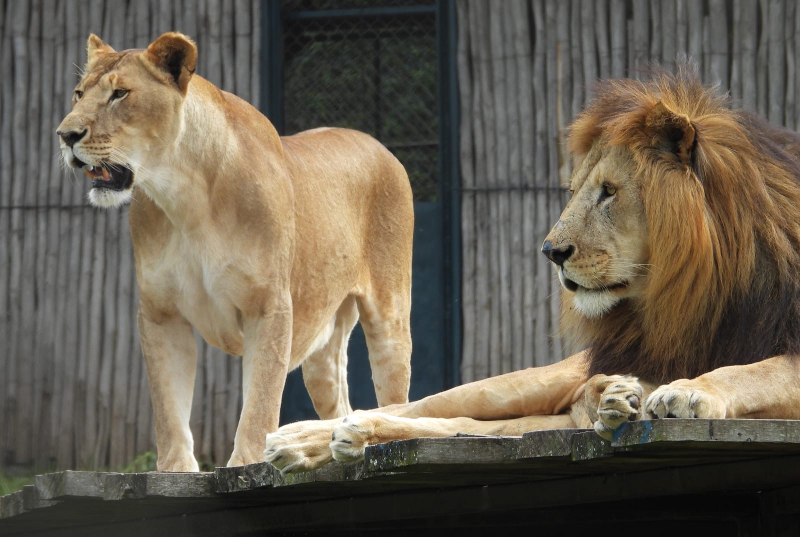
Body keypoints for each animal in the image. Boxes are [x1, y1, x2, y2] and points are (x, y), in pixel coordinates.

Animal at [56, 33, 412, 468]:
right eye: (79, 94)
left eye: (120, 94)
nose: (65, 135)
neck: (185, 198)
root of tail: (377, 144)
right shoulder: (161, 313)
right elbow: (169, 409)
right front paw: (176, 471)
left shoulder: (269, 307)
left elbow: (259, 401)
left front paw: (246, 463)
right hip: (321, 354)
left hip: (389, 316)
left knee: (397, 397)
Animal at [266, 63, 800, 474]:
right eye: (578, 189)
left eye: (609, 191)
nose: (551, 251)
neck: (705, 286)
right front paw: (642, 393)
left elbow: (752, 371)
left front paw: (682, 391)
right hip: (521, 385)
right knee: (429, 407)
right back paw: (298, 439)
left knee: (469, 428)